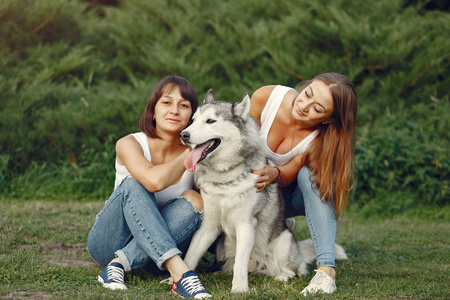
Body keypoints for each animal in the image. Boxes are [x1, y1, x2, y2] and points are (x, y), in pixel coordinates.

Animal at [180, 89, 348, 292]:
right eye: (193, 120)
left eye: (210, 121)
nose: (183, 135)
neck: (226, 178)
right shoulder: (209, 225)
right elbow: (191, 255)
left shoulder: (245, 224)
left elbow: (240, 264)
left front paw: (239, 289)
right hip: (222, 247)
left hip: (284, 243)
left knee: (293, 270)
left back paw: (282, 277)